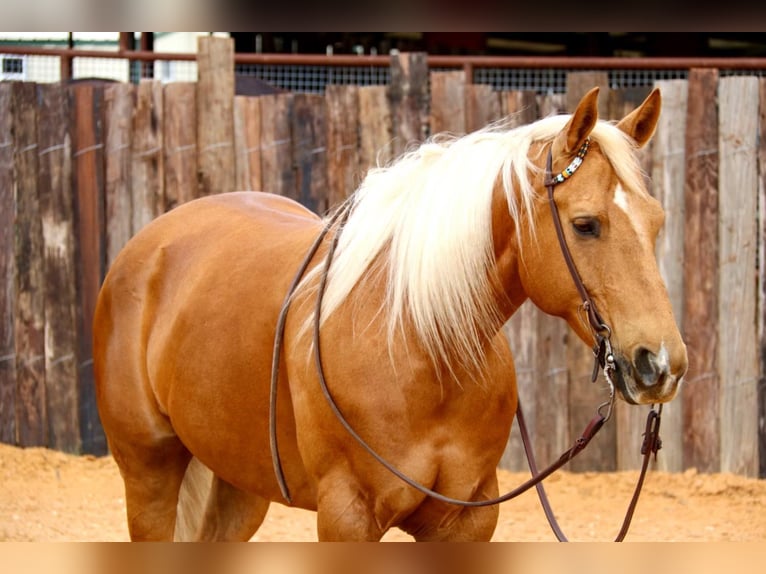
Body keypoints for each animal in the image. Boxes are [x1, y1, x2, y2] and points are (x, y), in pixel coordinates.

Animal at [93, 88, 688, 544]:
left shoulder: (466, 522)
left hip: (238, 480)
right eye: (586, 225)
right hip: (148, 473)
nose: (661, 363)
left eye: (658, 221)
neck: (419, 346)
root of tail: (152, 242)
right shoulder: (347, 517)